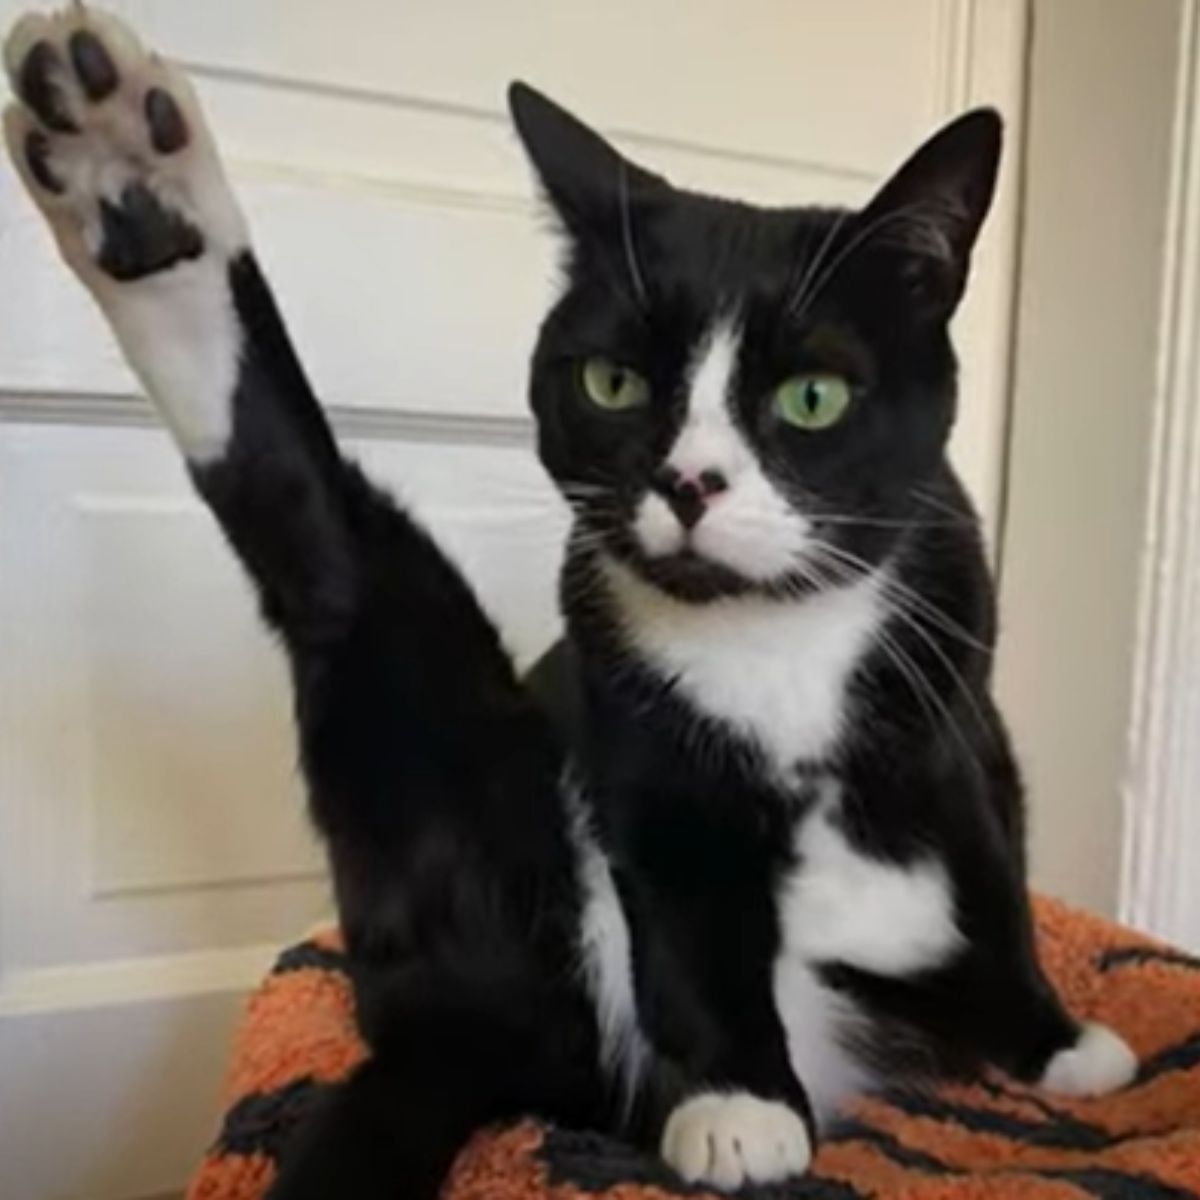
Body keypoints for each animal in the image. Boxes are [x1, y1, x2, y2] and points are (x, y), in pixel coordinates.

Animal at [4, 11, 1132, 1200]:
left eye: (813, 397)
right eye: (612, 383)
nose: (689, 483)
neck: (775, 636)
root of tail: (457, 1036)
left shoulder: (955, 695)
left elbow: (991, 862)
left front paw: (1054, 1042)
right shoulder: (638, 738)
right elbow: (689, 906)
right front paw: (740, 1105)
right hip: (474, 784)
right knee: (333, 562)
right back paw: (132, 189)